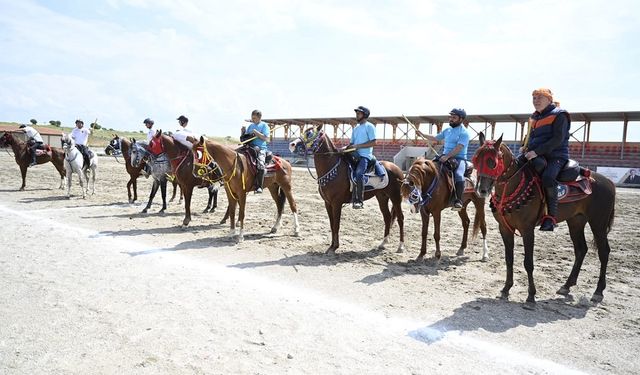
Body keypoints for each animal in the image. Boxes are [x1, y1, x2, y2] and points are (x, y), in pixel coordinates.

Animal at [290, 126, 404, 256]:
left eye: (310, 134)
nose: (292, 144)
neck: (333, 168)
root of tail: (397, 169)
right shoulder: (328, 203)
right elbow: (332, 225)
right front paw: (331, 246)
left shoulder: (337, 203)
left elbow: (336, 225)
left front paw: (334, 247)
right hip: (382, 197)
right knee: (388, 217)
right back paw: (383, 243)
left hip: (396, 197)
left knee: (400, 218)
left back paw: (400, 246)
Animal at [476, 133, 616, 308]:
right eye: (476, 160)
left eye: (492, 162)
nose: (481, 190)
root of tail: (608, 182)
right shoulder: (505, 229)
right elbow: (509, 259)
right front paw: (506, 289)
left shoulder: (527, 230)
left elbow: (528, 263)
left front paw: (531, 296)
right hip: (576, 222)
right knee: (581, 250)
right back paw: (566, 286)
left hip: (598, 223)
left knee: (604, 252)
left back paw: (598, 292)